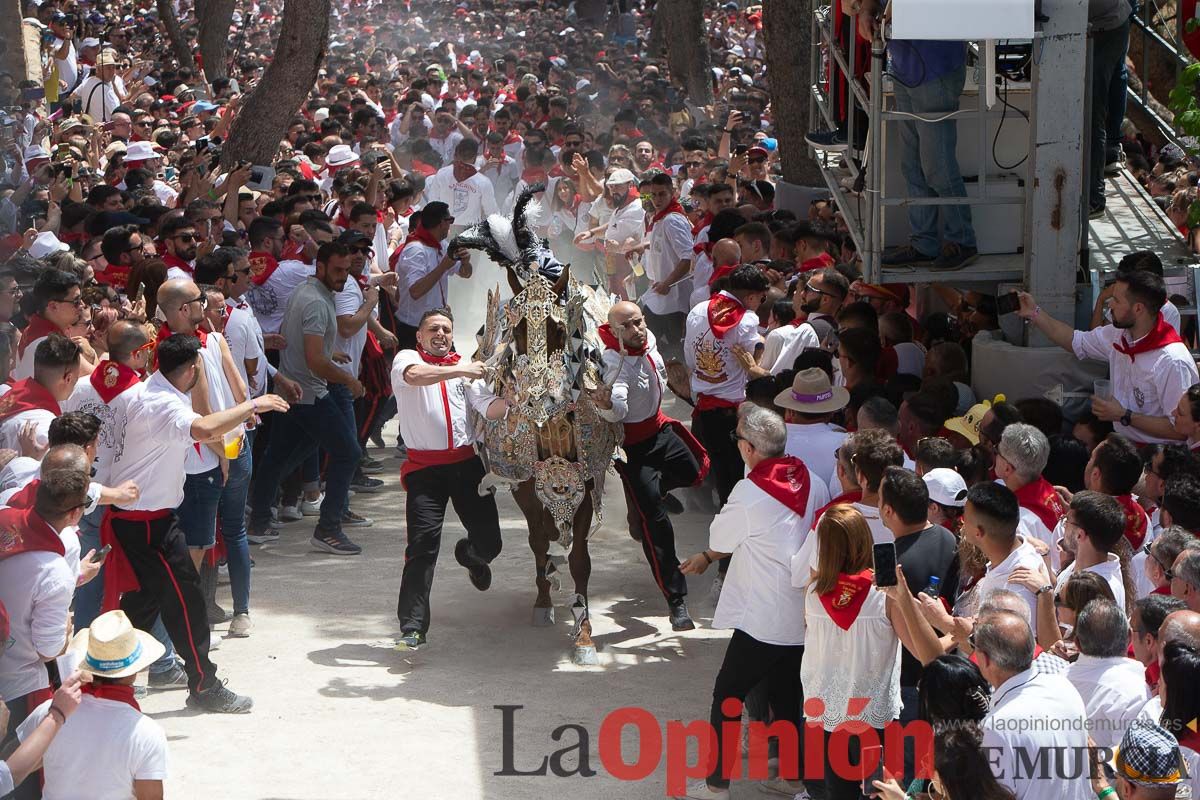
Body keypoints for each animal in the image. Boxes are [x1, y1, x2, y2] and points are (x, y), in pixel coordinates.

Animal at [451, 185, 619, 662]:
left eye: (560, 330)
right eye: (518, 328)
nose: (536, 396)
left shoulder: (585, 479)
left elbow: (580, 556)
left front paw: (584, 636)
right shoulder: (526, 481)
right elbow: (538, 539)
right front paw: (544, 603)